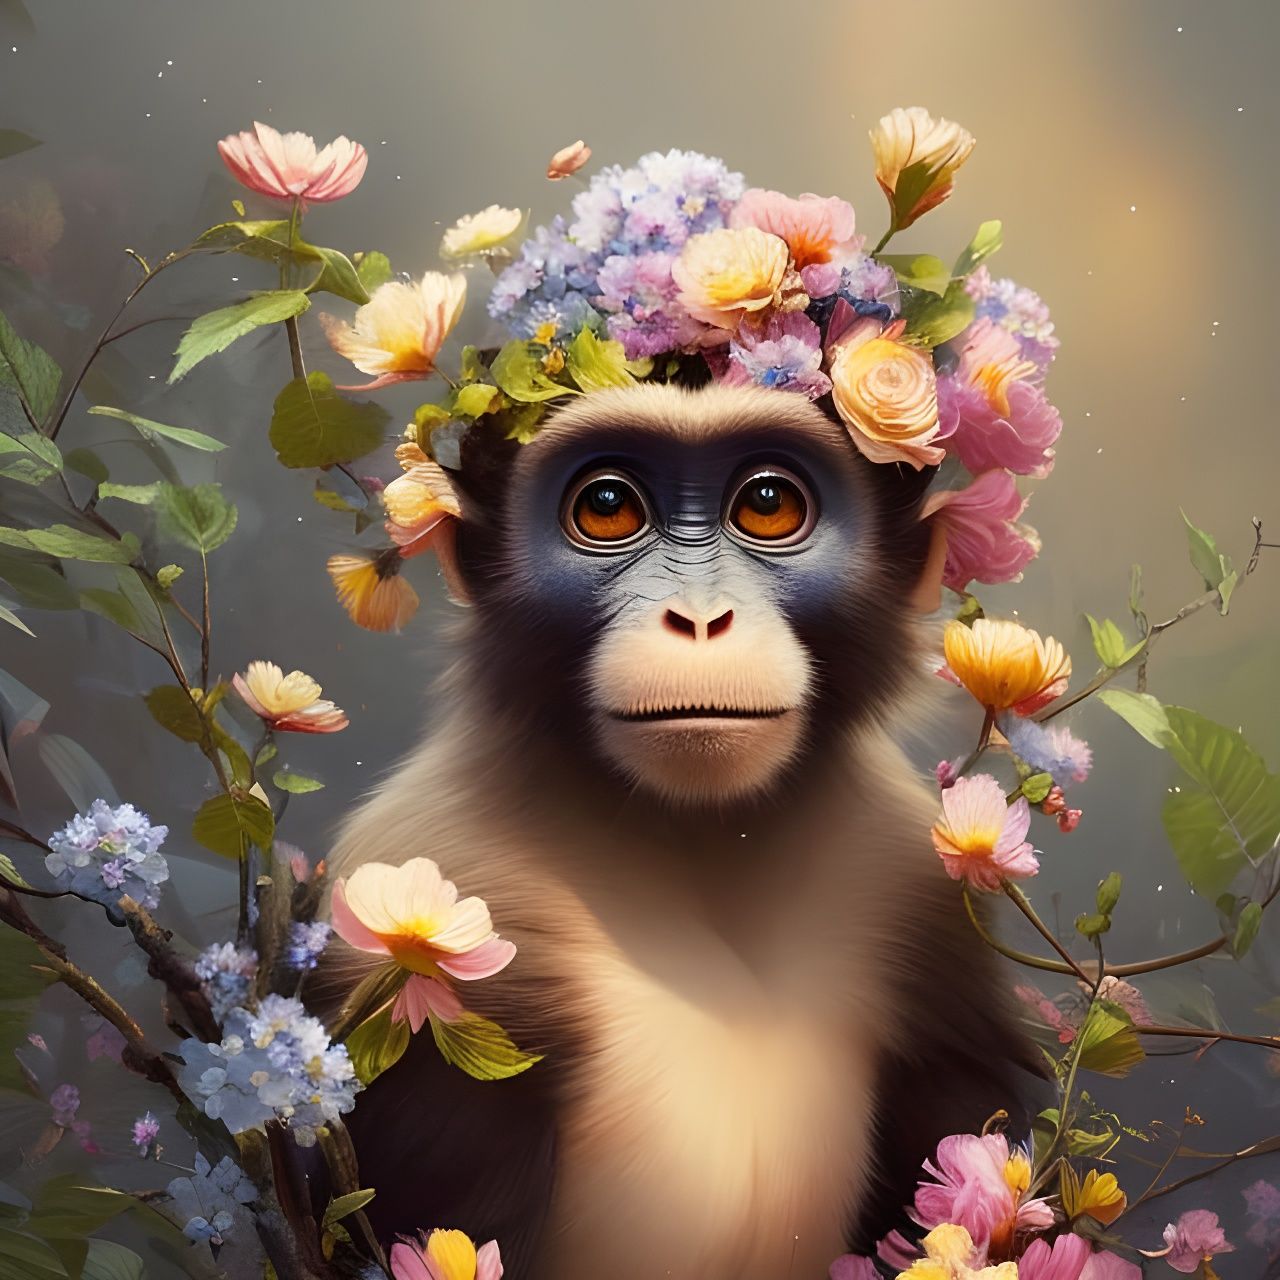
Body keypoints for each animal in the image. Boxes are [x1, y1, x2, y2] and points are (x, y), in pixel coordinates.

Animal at [323, 379, 1036, 1280]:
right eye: (607, 507)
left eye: (767, 503)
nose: (699, 619)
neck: (704, 844)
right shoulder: (428, 894)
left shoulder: (910, 883)